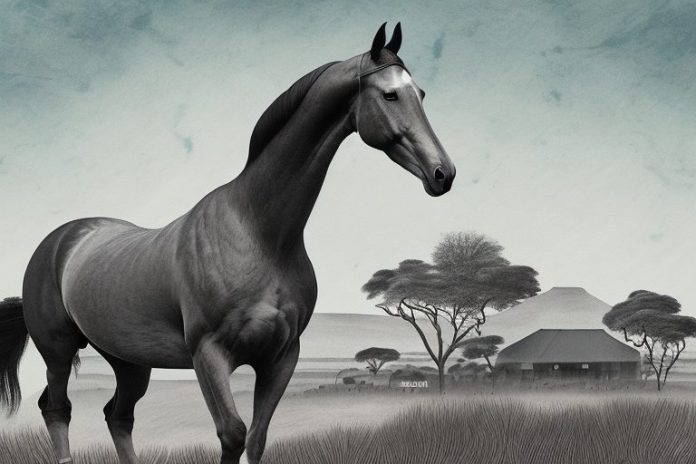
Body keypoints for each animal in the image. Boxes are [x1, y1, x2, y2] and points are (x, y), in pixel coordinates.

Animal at [0, 23, 455, 464]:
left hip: (129, 361)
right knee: (57, 408)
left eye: (421, 94)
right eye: (390, 93)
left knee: (118, 415)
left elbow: (256, 439)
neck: (260, 233)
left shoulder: (281, 357)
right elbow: (232, 435)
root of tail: (63, 240)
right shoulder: (210, 355)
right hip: (58, 351)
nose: (443, 173)